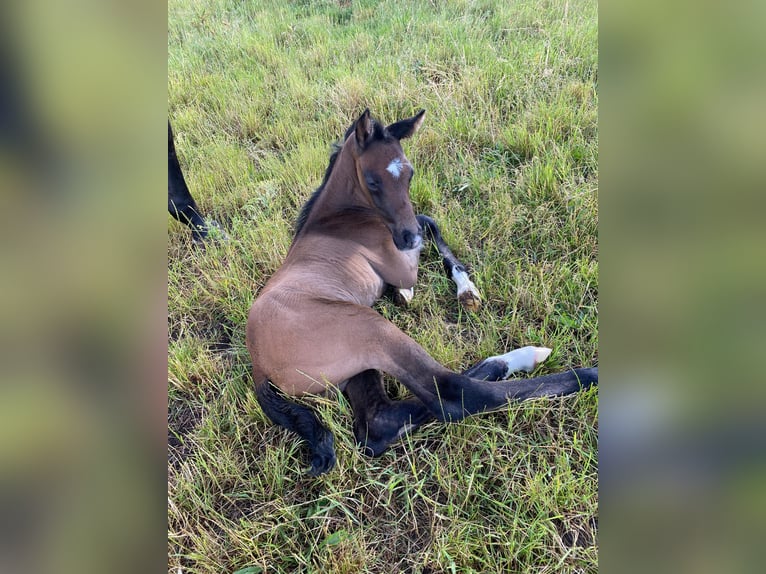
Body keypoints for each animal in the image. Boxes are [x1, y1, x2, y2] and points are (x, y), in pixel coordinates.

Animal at [248, 109, 600, 476]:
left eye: (410, 173)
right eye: (372, 181)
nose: (408, 238)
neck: (336, 219)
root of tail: (258, 366)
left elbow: (427, 220)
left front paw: (452, 290)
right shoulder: (401, 262)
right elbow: (427, 224)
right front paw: (449, 290)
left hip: (356, 367)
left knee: (379, 422)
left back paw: (506, 363)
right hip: (368, 326)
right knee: (452, 393)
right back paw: (571, 370)